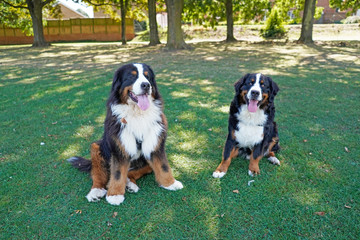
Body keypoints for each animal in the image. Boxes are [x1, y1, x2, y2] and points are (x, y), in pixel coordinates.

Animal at [68, 62, 183, 205]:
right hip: (97, 147)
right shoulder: (119, 148)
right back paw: (96, 191)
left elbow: (163, 166)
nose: (146, 85)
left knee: (131, 173)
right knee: (99, 175)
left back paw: (130, 183)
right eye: (131, 77)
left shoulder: (155, 144)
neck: (137, 114)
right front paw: (115, 195)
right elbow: (117, 174)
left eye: (147, 77)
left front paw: (170, 183)